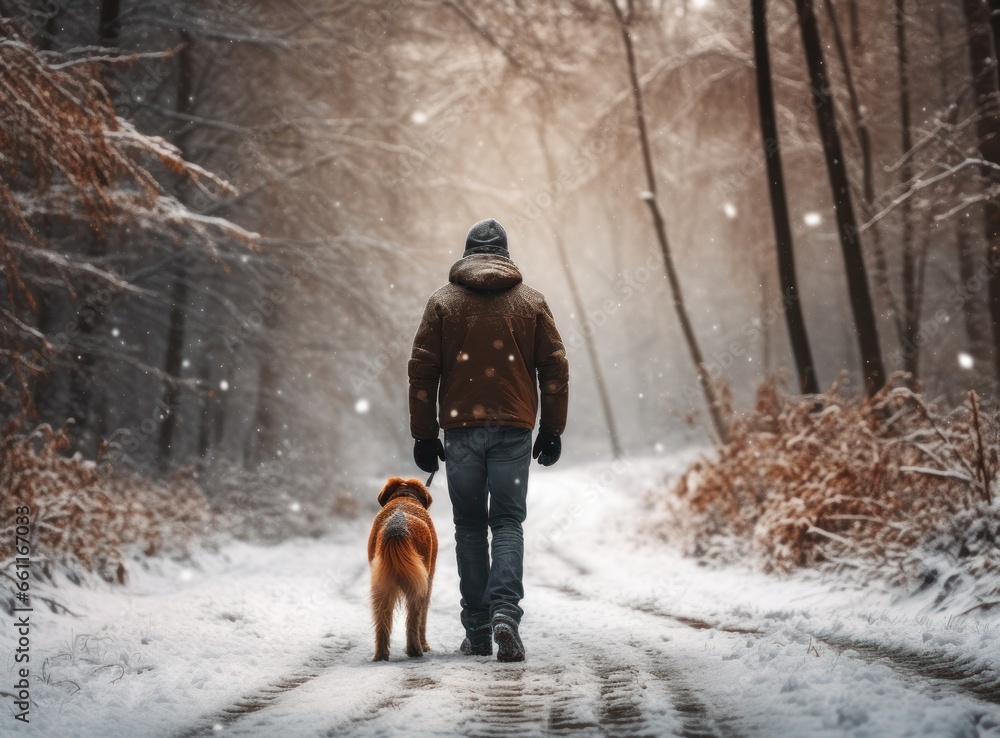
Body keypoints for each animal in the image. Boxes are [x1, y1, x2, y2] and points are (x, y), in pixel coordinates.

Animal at [368, 478, 438, 660]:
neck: (404, 496)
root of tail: (396, 530)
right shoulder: (428, 579)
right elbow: (423, 617)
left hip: (381, 585)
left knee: (382, 619)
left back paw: (381, 655)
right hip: (420, 582)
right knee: (415, 617)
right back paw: (416, 649)